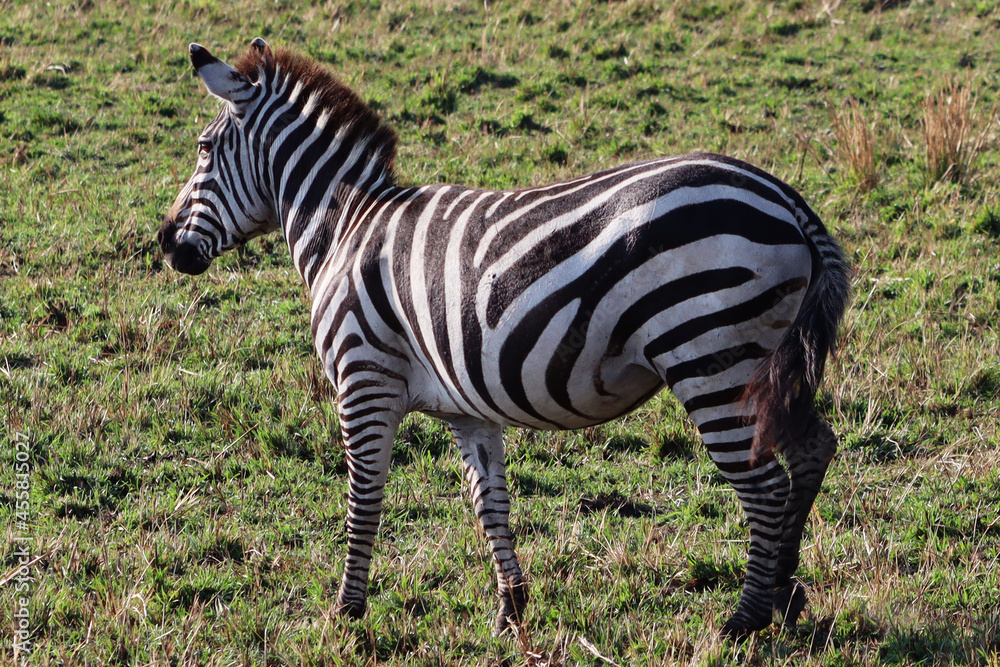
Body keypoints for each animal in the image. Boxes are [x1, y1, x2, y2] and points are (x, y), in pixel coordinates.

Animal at [159, 38, 850, 638]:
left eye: (203, 148)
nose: (165, 244)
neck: (346, 228)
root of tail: (788, 200)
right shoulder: (468, 407)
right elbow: (489, 501)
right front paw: (511, 610)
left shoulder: (364, 380)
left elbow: (364, 497)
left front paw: (347, 613)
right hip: (768, 364)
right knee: (812, 449)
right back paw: (786, 595)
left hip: (712, 359)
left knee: (764, 486)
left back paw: (745, 619)